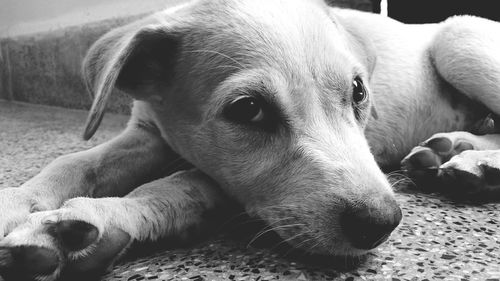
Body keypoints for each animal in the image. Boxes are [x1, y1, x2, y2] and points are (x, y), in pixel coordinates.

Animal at [0, 0, 500, 278]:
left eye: (359, 92)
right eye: (248, 110)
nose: (382, 223)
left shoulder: (227, 184)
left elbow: (173, 187)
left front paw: (84, 224)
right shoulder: (147, 134)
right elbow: (75, 162)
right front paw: (17, 201)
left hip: (457, 37)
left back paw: (475, 164)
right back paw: (451, 150)